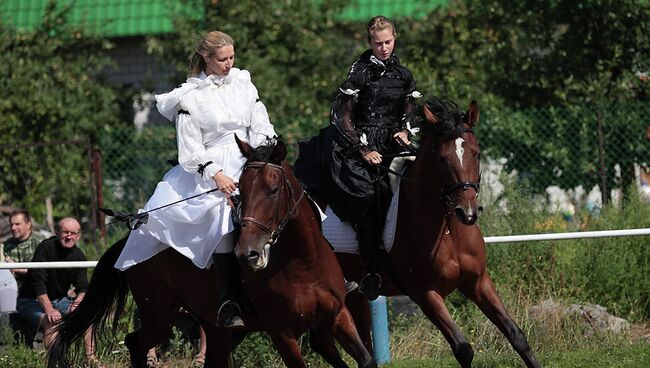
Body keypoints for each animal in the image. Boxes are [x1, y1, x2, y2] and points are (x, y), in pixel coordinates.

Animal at [233, 138, 374, 368]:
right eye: (241, 190)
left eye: (273, 190)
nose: (247, 254)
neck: (303, 264)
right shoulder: (281, 334)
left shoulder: (337, 313)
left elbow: (366, 359)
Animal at [306, 98, 540, 368]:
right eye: (442, 159)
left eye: (477, 153)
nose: (468, 213)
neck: (448, 230)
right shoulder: (425, 293)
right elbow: (463, 348)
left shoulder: (478, 281)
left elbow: (516, 334)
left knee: (327, 344)